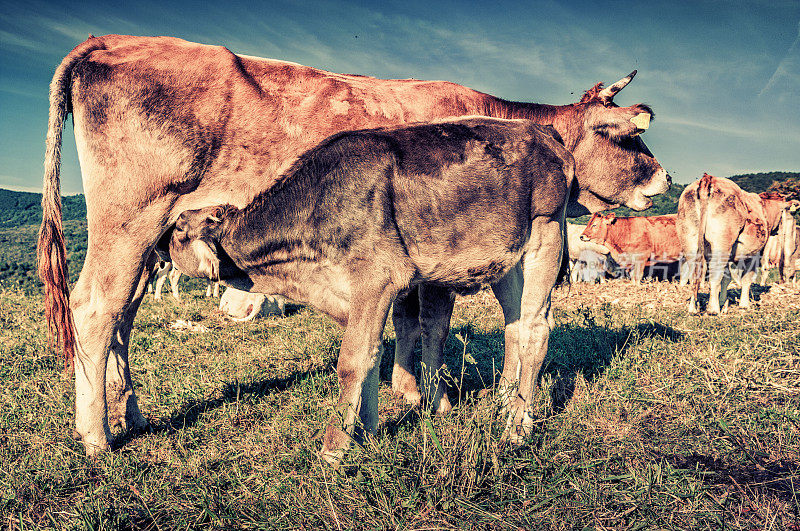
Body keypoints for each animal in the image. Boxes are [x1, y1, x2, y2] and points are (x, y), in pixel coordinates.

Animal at [167, 118, 576, 464]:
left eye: (179, 230)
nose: (159, 248)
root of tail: (540, 130)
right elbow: (373, 352)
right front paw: (366, 431)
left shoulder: (376, 278)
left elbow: (353, 360)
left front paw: (334, 447)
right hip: (506, 260)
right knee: (514, 326)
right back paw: (504, 400)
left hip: (545, 234)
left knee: (536, 330)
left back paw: (516, 426)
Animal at [676, 175, 800, 314]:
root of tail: (708, 178)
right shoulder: (754, 254)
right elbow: (746, 278)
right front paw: (744, 305)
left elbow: (727, 278)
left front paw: (723, 302)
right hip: (721, 245)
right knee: (715, 274)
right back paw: (713, 309)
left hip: (690, 242)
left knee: (694, 274)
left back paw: (693, 308)